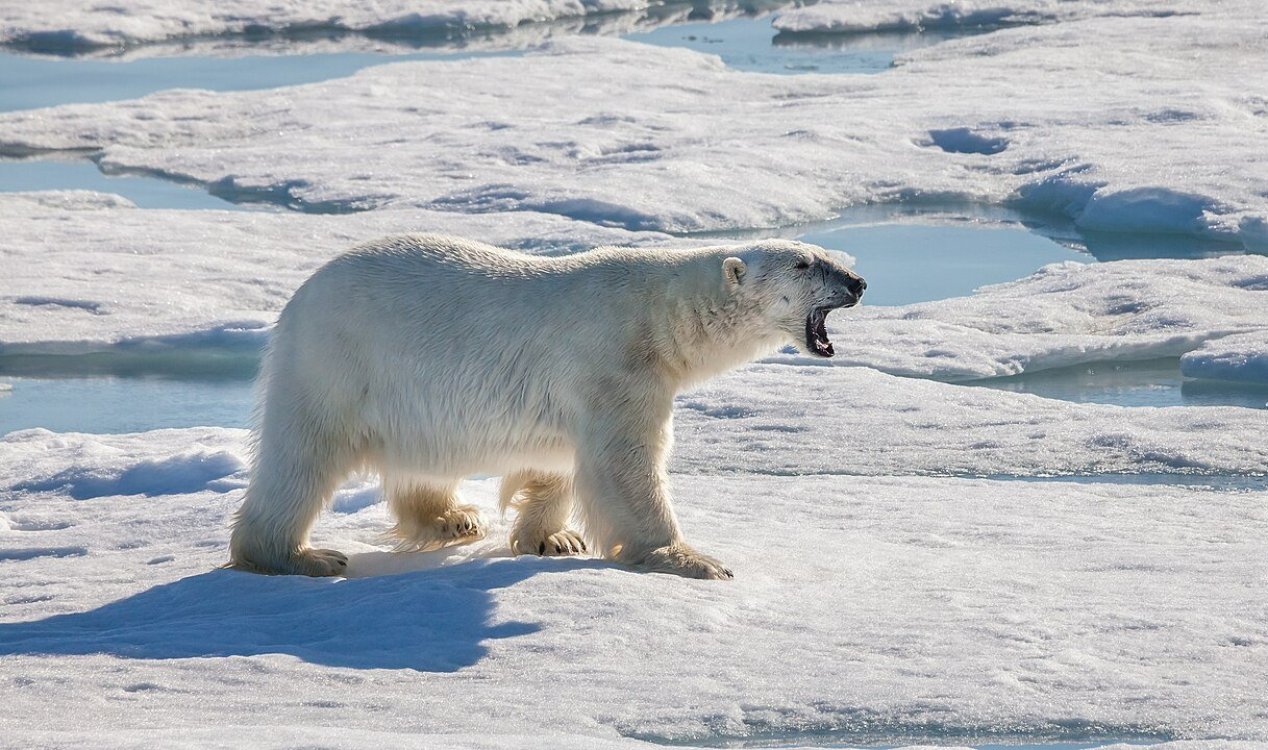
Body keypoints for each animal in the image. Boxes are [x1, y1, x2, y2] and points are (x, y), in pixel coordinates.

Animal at [229, 234, 865, 579]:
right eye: (804, 264)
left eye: (826, 254)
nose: (858, 281)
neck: (661, 316)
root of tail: (300, 297)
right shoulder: (616, 363)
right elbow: (624, 464)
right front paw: (690, 558)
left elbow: (560, 457)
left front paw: (552, 538)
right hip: (338, 363)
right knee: (301, 458)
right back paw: (300, 555)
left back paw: (451, 517)